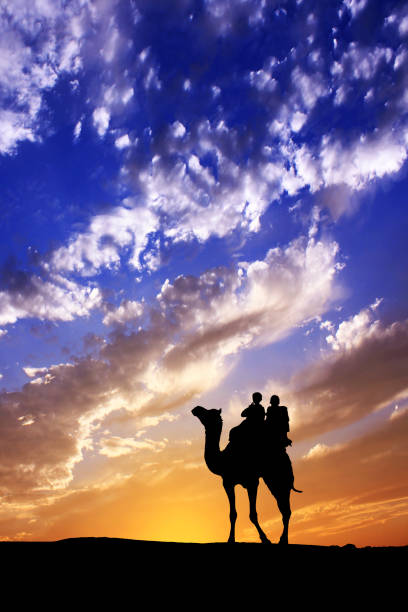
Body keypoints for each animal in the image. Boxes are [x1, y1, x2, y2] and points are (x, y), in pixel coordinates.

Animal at [191, 406, 300, 544]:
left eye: (208, 413)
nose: (196, 409)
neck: (224, 460)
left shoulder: (251, 482)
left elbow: (252, 514)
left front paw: (265, 539)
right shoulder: (227, 483)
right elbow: (233, 514)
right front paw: (231, 539)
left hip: (280, 476)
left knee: (285, 508)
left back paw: (283, 539)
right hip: (272, 480)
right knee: (284, 508)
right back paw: (283, 539)